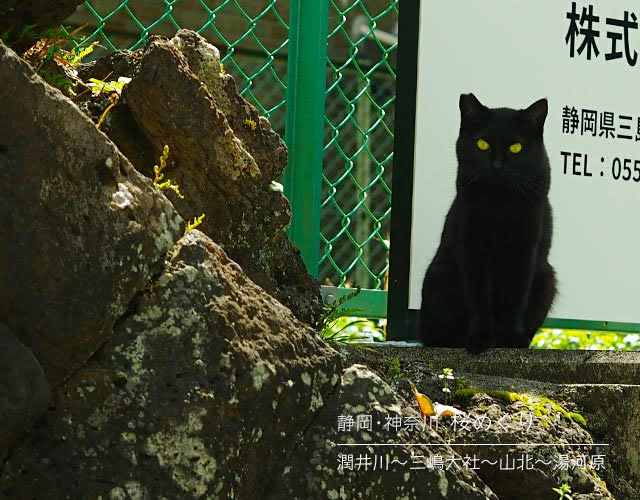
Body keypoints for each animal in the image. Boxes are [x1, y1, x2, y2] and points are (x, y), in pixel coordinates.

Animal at [420, 93, 556, 352]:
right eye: (482, 144)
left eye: (516, 147)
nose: (497, 166)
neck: (499, 203)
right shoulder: (473, 248)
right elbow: (480, 300)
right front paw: (480, 340)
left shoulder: (524, 250)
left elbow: (514, 298)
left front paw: (511, 339)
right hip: (439, 275)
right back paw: (456, 340)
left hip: (547, 280)